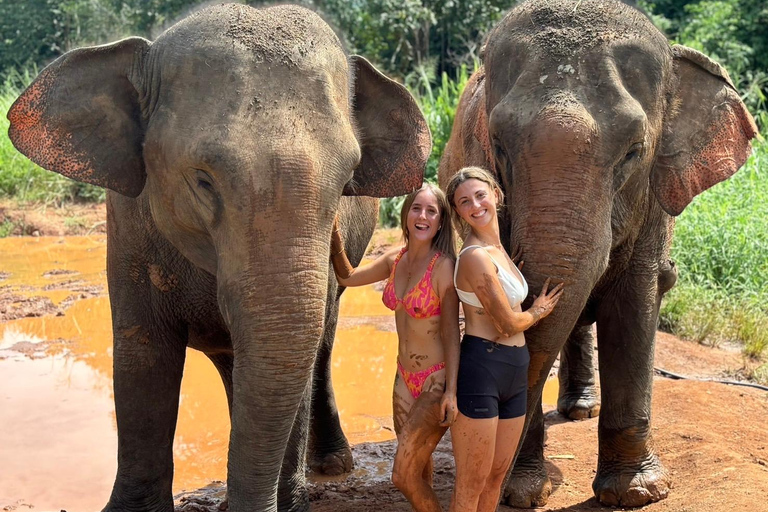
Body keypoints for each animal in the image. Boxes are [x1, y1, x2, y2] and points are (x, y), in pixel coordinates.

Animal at [7, 4, 432, 512]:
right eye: (203, 180)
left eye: (348, 179)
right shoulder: (126, 224)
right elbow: (143, 357)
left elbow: (297, 361)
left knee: (319, 349)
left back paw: (330, 465)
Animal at [438, 0, 756, 508]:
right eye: (499, 145)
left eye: (634, 151)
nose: (496, 488)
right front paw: (523, 493)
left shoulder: (653, 201)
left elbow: (635, 300)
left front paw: (638, 492)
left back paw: (582, 411)